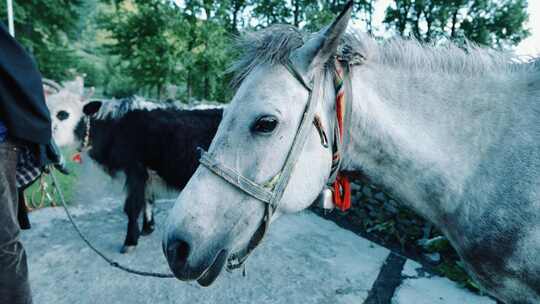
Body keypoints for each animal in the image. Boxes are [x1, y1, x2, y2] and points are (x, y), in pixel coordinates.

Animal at [49, 96, 221, 253]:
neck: (115, 127)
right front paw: (147, 228)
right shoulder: (146, 175)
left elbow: (132, 206)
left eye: (63, 114)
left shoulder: (135, 171)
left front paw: (130, 241)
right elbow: (148, 200)